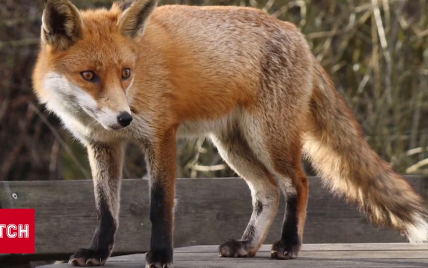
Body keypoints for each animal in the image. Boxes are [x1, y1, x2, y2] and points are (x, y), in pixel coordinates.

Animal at [31, 0, 426, 266]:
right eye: (89, 75)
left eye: (125, 73)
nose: (124, 118)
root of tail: (298, 35)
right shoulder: (102, 146)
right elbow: (105, 210)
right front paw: (98, 251)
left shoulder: (160, 135)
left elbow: (160, 206)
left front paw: (160, 254)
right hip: (233, 145)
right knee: (268, 192)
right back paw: (247, 246)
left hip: (267, 138)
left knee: (297, 184)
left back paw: (289, 245)